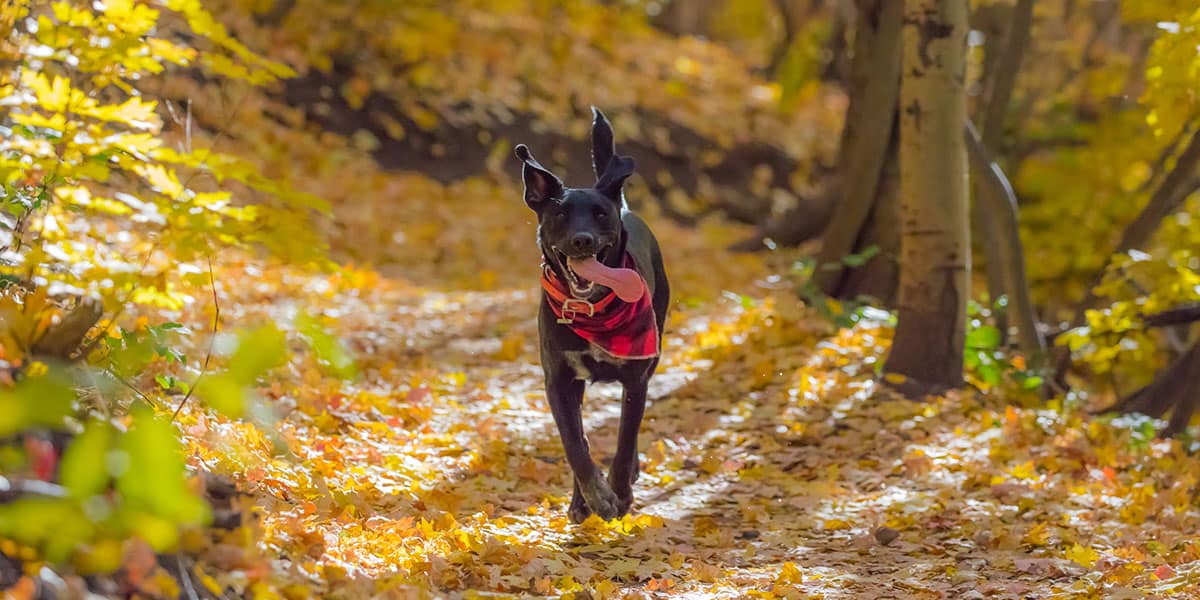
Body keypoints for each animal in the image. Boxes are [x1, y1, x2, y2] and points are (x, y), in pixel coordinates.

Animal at [513, 110, 672, 523]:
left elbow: (624, 439)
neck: (593, 310)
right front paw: (594, 497)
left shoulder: (635, 379)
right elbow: (575, 445)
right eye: (560, 214)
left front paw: (619, 494)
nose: (582, 239)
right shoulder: (559, 381)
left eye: (600, 215)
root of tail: (626, 206)